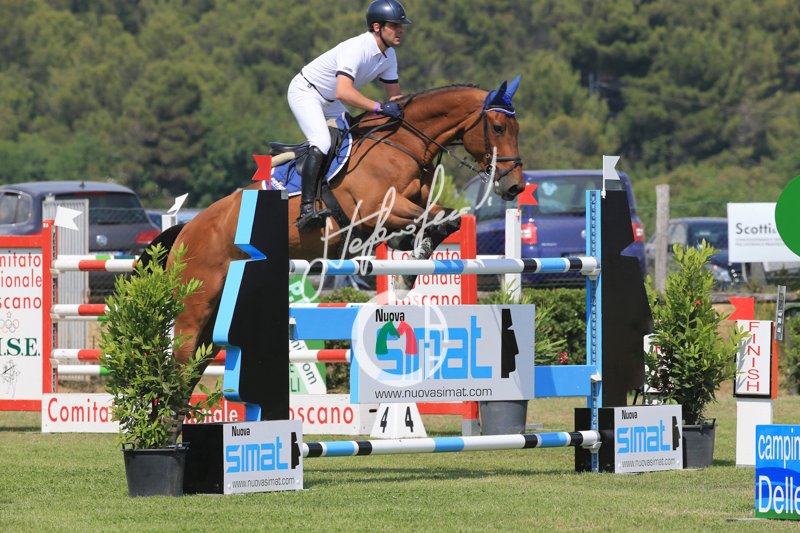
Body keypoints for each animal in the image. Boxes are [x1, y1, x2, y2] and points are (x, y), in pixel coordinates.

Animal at [154, 78, 526, 373]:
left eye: (516, 129)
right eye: (497, 128)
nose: (515, 187)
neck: (403, 145)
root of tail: (186, 229)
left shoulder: (407, 208)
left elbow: (446, 218)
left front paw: (411, 262)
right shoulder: (375, 211)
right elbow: (436, 219)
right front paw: (412, 262)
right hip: (195, 306)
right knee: (179, 364)